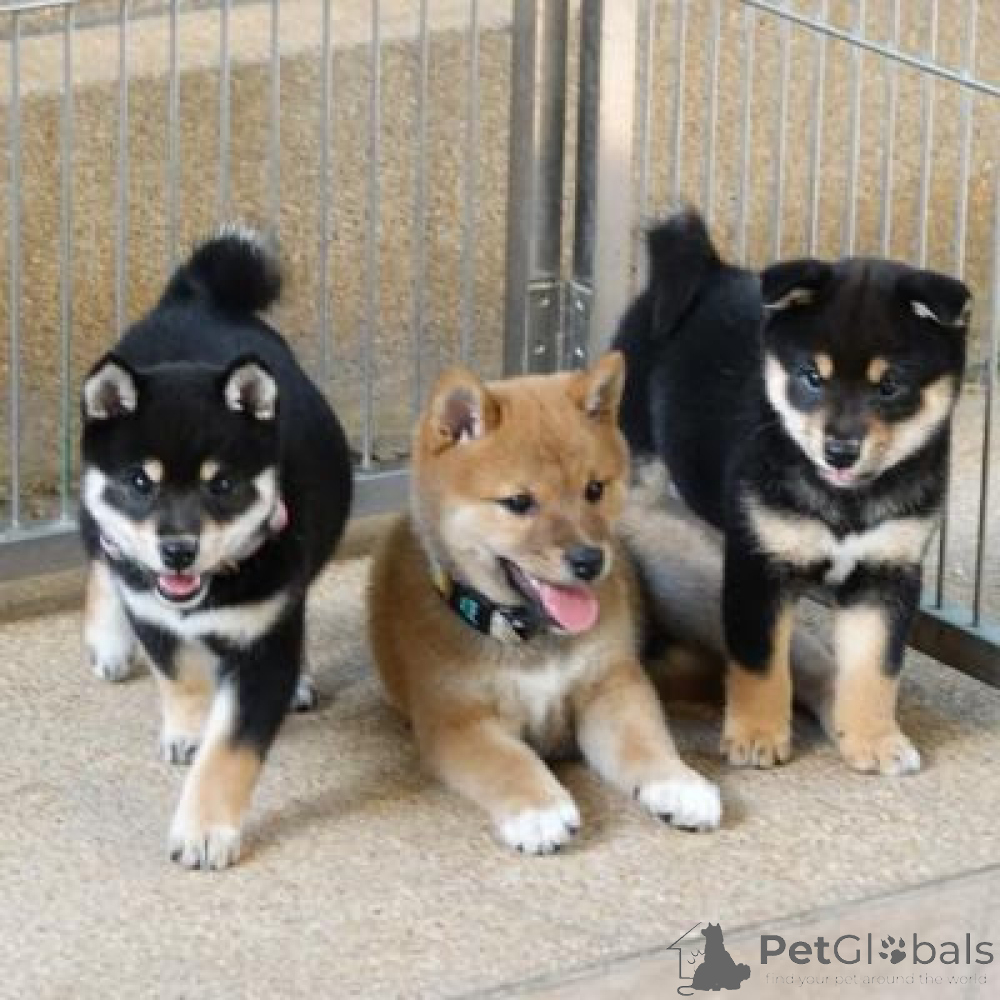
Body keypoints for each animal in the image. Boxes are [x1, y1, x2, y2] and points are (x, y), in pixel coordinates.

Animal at [79, 227, 352, 868]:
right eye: (140, 482)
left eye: (220, 485)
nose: (178, 550)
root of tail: (194, 296)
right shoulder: (152, 612)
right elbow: (179, 676)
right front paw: (187, 729)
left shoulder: (263, 645)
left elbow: (229, 752)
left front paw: (205, 830)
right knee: (103, 554)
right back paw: (108, 641)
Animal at [367, 355, 721, 854]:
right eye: (518, 502)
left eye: (594, 489)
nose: (590, 560)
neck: (531, 639)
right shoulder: (459, 721)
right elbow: (508, 762)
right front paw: (537, 810)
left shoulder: (612, 686)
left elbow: (645, 741)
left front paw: (678, 783)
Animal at [614, 208, 970, 776]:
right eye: (812, 378)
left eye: (889, 386)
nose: (840, 451)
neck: (845, 503)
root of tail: (709, 268)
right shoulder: (759, 564)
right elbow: (760, 662)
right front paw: (757, 736)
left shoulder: (886, 572)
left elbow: (875, 668)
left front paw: (873, 739)